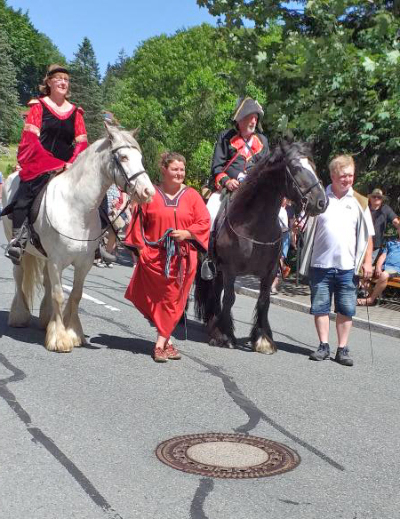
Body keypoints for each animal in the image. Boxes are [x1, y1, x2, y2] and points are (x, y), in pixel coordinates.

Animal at [194, 141, 328, 354]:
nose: (321, 202)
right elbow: (229, 298)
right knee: (216, 294)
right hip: (216, 269)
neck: (253, 228)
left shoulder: (270, 272)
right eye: (296, 167)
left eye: (313, 166)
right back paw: (214, 328)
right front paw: (226, 336)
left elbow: (264, 300)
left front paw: (263, 339)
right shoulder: (230, 270)